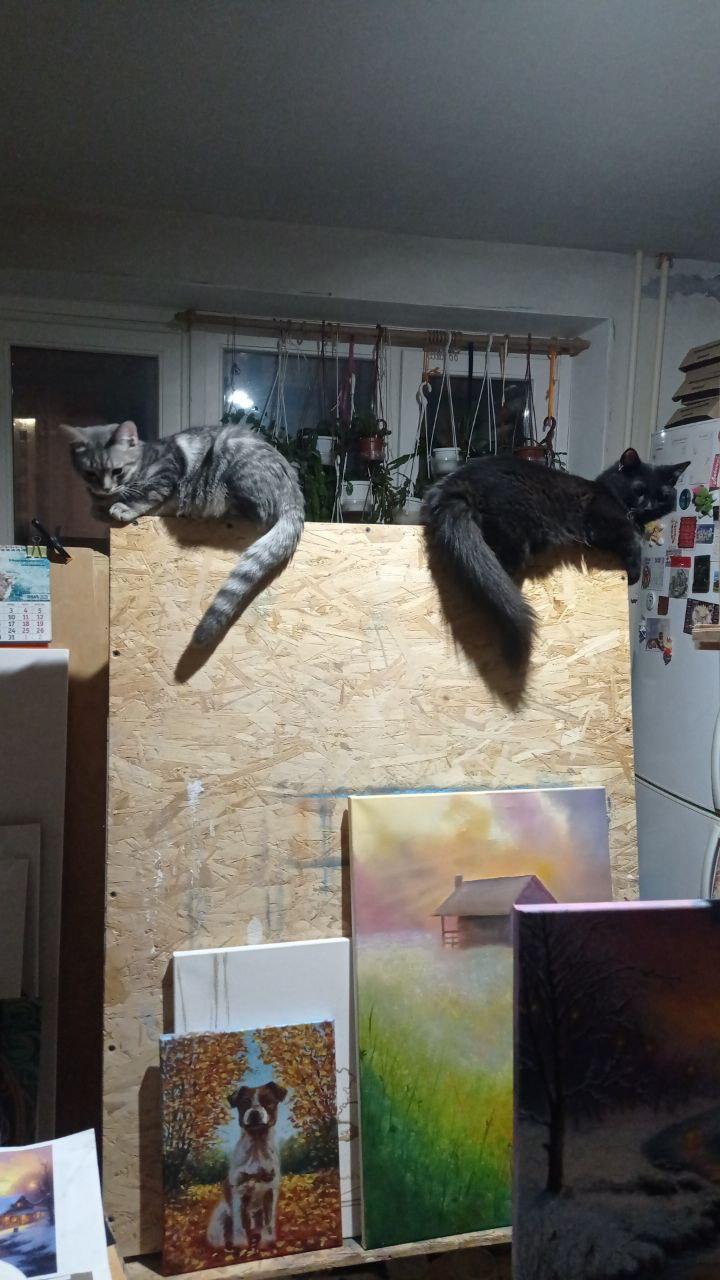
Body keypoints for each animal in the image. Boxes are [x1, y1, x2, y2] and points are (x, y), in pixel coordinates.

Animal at [61, 420, 304, 647]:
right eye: (90, 474)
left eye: (117, 471)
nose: (104, 488)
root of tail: (295, 495)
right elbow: (97, 509)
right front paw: (102, 507)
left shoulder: (166, 473)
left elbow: (146, 494)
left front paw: (124, 507)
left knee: (259, 513)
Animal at [207, 1080, 288, 1251]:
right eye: (244, 1103)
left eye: (267, 1102)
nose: (254, 1113)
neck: (256, 1147)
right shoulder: (239, 1192)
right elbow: (240, 1224)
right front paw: (241, 1244)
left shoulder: (270, 1191)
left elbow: (268, 1221)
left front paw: (267, 1241)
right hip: (221, 1218)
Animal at [422, 447, 689, 665]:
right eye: (639, 490)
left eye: (662, 495)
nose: (649, 506)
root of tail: (456, 480)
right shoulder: (603, 524)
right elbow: (634, 544)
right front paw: (635, 572)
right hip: (512, 541)